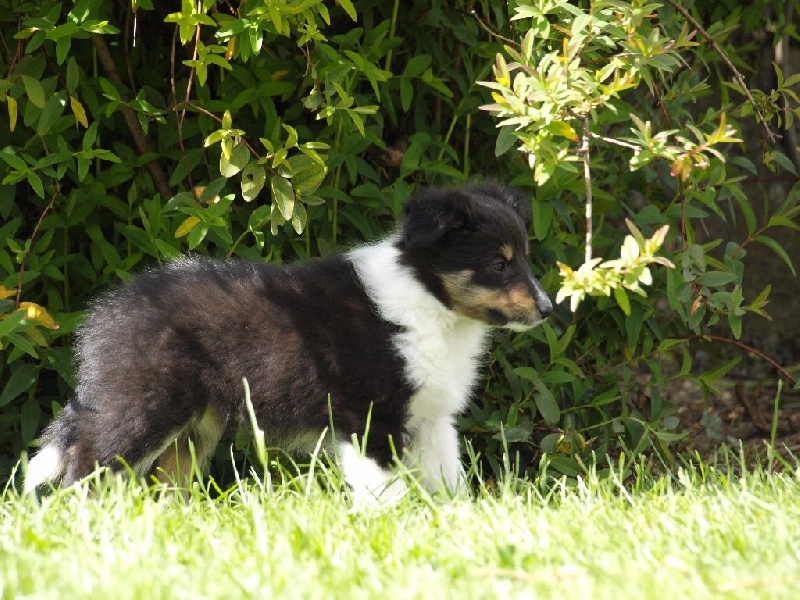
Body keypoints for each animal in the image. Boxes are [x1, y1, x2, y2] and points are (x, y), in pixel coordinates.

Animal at [24, 182, 553, 504]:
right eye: (499, 263)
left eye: (524, 257)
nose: (548, 309)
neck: (430, 300)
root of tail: (103, 319)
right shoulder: (368, 417)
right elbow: (382, 487)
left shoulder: (431, 417)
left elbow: (449, 481)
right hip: (143, 404)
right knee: (86, 464)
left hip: (195, 424)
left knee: (165, 479)